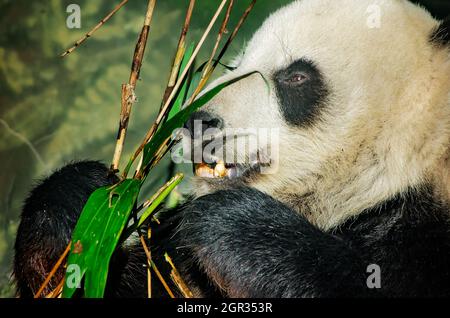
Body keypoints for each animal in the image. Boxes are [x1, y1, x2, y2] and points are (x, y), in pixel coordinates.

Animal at [12, 0, 450, 298]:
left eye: (296, 76)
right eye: (234, 65)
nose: (197, 120)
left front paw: (238, 230)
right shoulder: (174, 257)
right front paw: (83, 201)